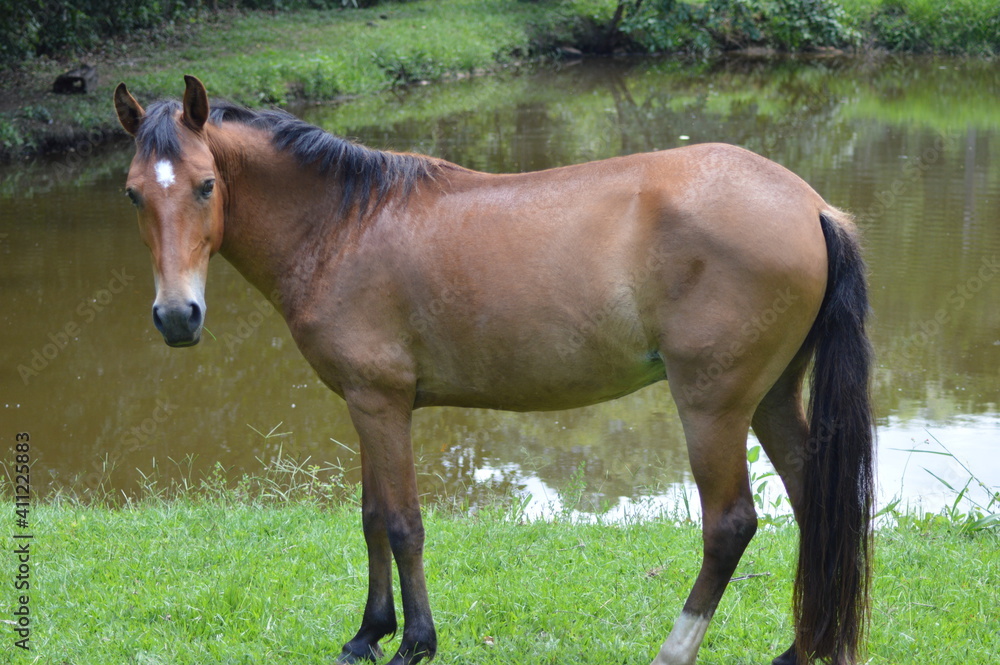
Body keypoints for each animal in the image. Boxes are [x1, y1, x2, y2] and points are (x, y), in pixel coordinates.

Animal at [113, 75, 875, 665]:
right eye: (133, 194)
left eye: (206, 185)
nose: (177, 316)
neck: (344, 225)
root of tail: (811, 205)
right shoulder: (365, 403)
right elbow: (371, 516)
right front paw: (367, 634)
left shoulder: (381, 403)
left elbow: (403, 522)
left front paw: (414, 641)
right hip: (771, 397)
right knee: (815, 502)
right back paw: (804, 648)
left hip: (712, 405)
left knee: (730, 525)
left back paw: (676, 648)